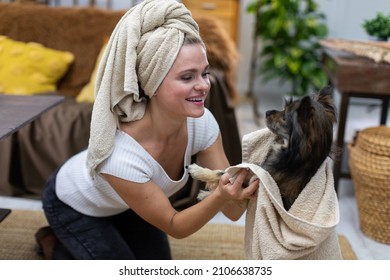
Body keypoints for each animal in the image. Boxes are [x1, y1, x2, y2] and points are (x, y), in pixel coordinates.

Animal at [187, 86, 336, 211]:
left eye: (284, 116)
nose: (267, 111)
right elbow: (223, 172)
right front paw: (205, 191)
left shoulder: (257, 179)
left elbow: (224, 175)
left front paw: (196, 173)